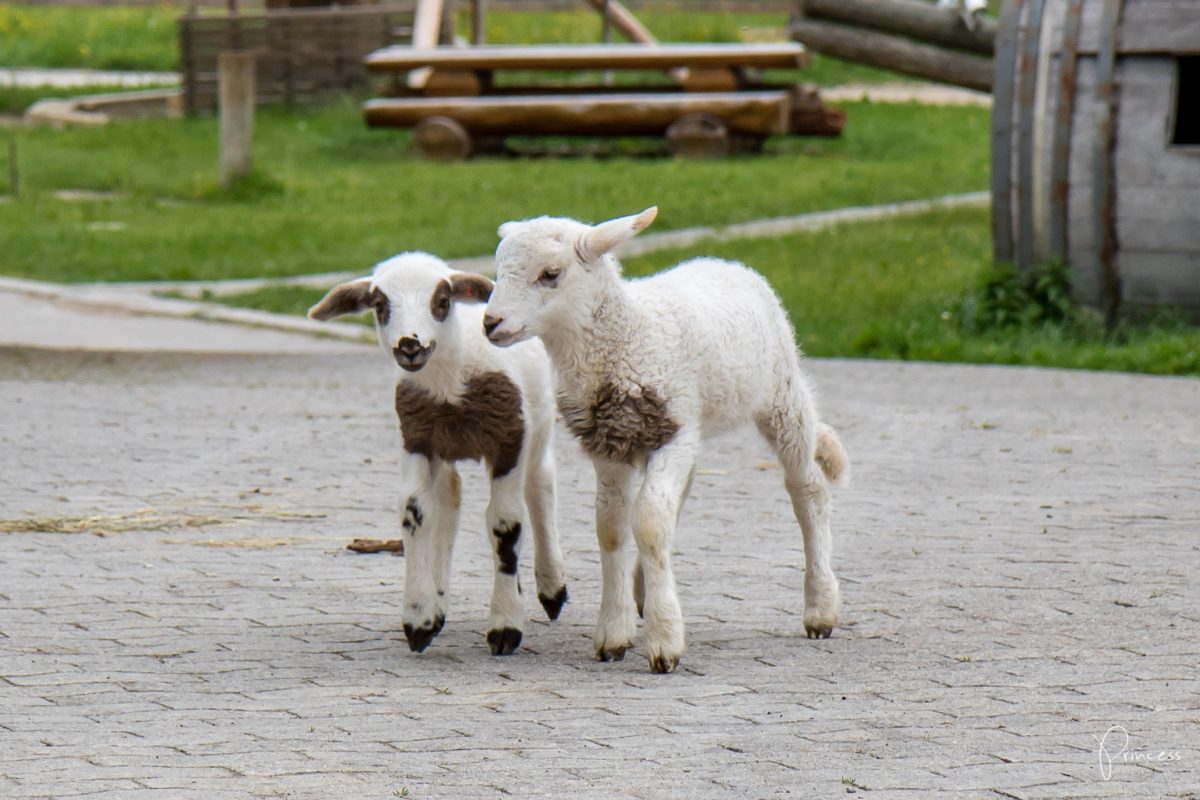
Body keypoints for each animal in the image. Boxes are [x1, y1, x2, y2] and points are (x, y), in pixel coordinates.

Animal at [309, 253, 571, 662]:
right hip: (446, 448)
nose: (409, 345)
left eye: (443, 301)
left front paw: (506, 626)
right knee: (449, 498)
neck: (450, 385)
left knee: (539, 488)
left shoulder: (508, 439)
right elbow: (415, 510)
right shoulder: (417, 438)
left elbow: (505, 523)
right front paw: (419, 619)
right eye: (380, 306)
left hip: (538, 423)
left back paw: (551, 588)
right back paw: (439, 599)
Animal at [482, 209, 849, 671]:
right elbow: (612, 528)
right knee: (680, 494)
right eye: (498, 269)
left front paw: (664, 642)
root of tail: (722, 261)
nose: (490, 323)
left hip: (780, 396)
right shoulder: (610, 444)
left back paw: (820, 607)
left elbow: (650, 522)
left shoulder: (672, 433)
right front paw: (614, 632)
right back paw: (644, 588)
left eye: (551, 274)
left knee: (808, 491)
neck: (626, 337)